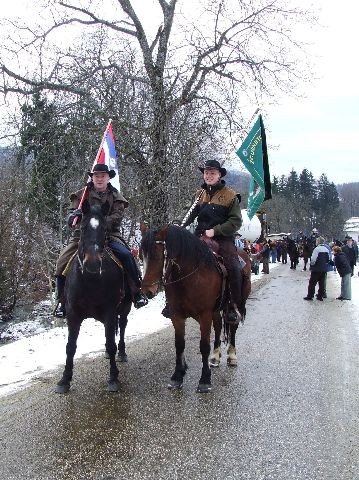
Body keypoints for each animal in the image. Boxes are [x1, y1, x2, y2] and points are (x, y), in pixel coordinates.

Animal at [54, 200, 131, 394]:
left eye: (104, 229)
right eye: (82, 228)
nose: (93, 264)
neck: (90, 280)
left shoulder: (110, 312)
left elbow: (111, 343)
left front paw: (113, 377)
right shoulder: (73, 314)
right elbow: (70, 347)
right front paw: (64, 379)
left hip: (125, 307)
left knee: (122, 327)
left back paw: (121, 353)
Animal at [139, 225, 252, 394]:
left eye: (157, 256)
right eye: (141, 256)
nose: (147, 291)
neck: (190, 276)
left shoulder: (204, 315)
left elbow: (204, 346)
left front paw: (204, 380)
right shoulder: (177, 315)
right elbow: (179, 344)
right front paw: (177, 376)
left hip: (237, 303)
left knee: (233, 326)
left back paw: (232, 356)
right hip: (215, 311)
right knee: (218, 326)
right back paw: (215, 357)